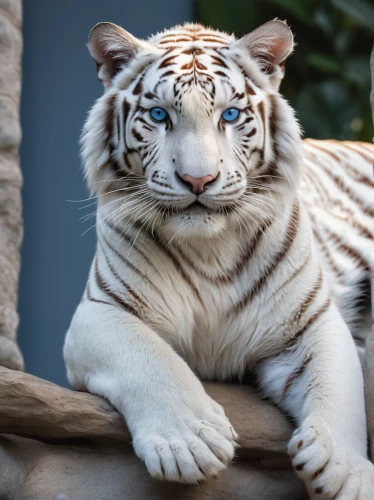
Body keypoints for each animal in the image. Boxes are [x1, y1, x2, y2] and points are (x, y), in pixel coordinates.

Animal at [63, 18, 374, 496]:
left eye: (229, 115)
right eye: (159, 115)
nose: (198, 180)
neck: (210, 248)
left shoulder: (311, 319)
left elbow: (340, 386)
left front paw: (345, 470)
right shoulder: (100, 312)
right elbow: (148, 358)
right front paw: (189, 443)